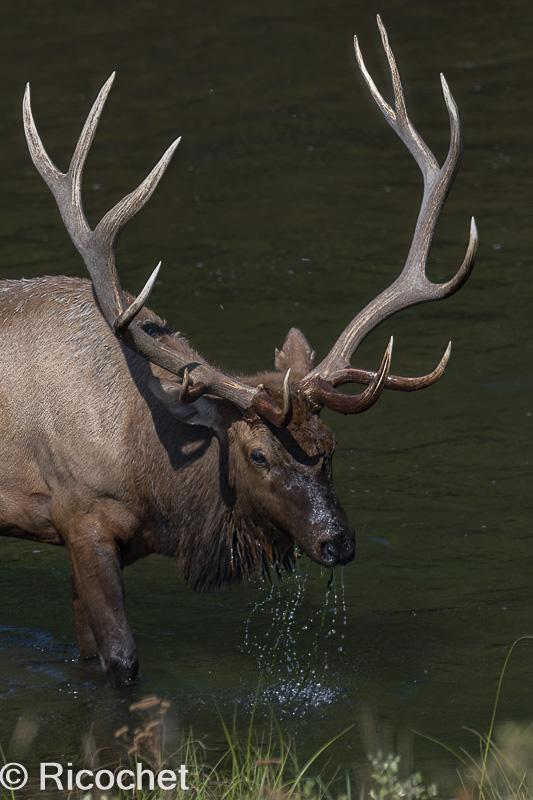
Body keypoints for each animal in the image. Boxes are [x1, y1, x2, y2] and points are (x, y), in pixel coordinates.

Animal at [0, 15, 474, 684]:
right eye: (257, 455)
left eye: (330, 449)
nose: (338, 541)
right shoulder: (82, 514)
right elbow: (121, 658)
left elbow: (89, 655)